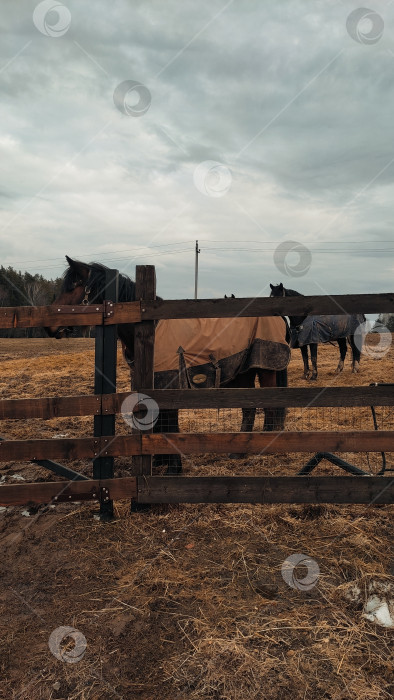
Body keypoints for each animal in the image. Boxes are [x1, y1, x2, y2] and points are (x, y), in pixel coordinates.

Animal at [46, 258, 290, 470]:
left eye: (73, 286)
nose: (50, 326)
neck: (148, 328)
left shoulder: (168, 382)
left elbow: (168, 423)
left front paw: (173, 467)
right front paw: (159, 462)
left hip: (265, 370)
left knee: (271, 406)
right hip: (243, 373)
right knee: (249, 408)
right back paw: (238, 452)